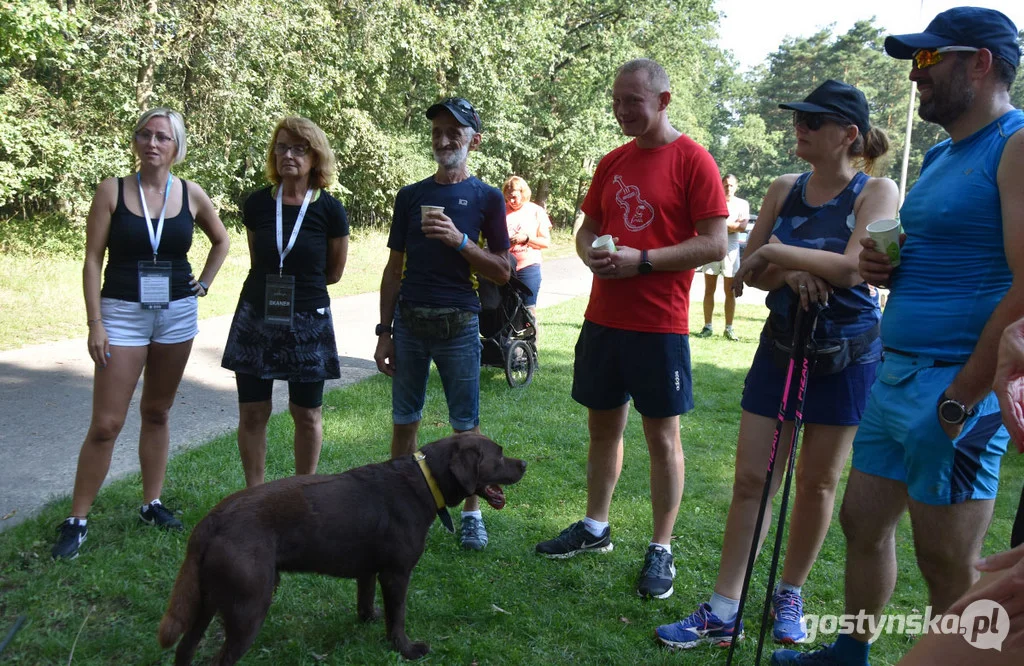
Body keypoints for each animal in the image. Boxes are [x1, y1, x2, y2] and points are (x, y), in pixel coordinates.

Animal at [161, 432, 528, 659]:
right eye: (498, 455)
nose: (525, 464)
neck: (425, 481)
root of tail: (211, 521)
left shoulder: (369, 570)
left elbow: (365, 600)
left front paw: (369, 619)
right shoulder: (396, 573)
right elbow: (398, 616)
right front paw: (406, 649)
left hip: (207, 600)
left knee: (184, 648)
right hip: (249, 605)